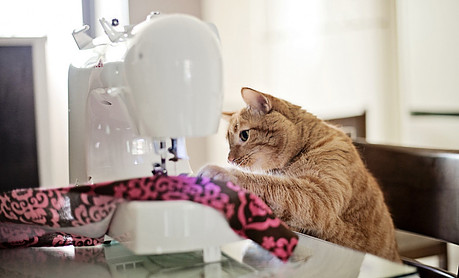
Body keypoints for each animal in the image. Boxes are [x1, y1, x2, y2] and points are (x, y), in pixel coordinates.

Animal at [199, 87, 400, 262]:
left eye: (244, 135)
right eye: (228, 142)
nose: (229, 160)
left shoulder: (318, 196)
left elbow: (266, 183)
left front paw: (220, 173)